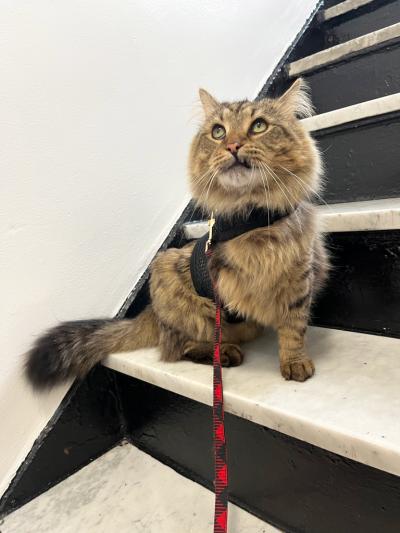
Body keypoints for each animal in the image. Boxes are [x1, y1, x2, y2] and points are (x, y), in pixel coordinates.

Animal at [26, 77, 330, 388]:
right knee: (178, 348)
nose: (233, 145)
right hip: (176, 287)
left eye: (259, 126)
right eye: (218, 132)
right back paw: (224, 353)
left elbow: (293, 329)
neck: (253, 219)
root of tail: (152, 314)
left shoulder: (300, 278)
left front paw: (294, 362)